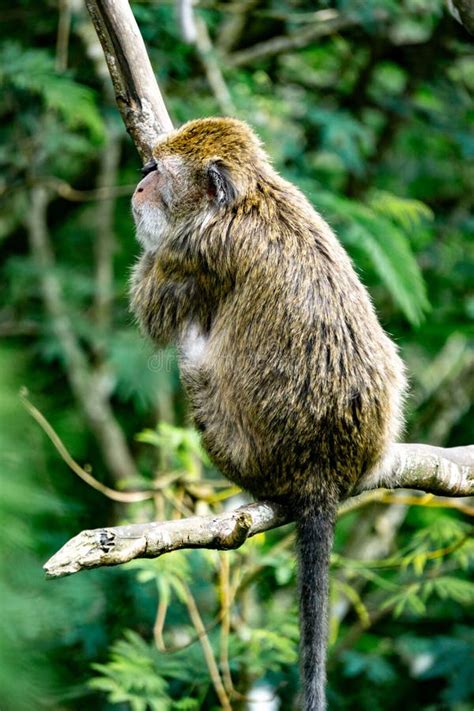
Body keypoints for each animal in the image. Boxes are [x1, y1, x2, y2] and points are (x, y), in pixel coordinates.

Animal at [129, 118, 404, 711]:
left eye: (161, 174)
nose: (139, 185)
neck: (248, 198)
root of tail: (324, 472)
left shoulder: (194, 251)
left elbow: (152, 309)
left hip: (245, 452)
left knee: (192, 359)